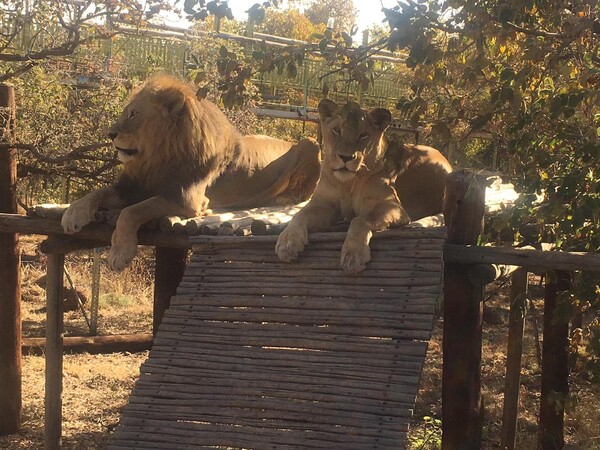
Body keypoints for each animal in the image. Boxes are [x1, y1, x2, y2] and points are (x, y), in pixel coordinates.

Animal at [62, 75, 318, 268]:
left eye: (134, 114)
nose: (110, 133)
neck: (156, 158)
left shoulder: (186, 199)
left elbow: (132, 211)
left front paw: (119, 252)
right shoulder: (132, 187)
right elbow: (96, 193)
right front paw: (73, 215)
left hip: (310, 142)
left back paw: (283, 197)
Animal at [276, 100, 408, 272]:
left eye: (363, 135)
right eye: (336, 130)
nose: (345, 157)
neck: (347, 183)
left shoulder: (391, 206)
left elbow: (360, 220)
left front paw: (353, 255)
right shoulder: (323, 203)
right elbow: (299, 214)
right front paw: (287, 242)